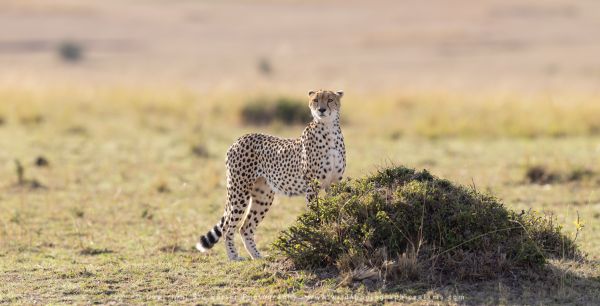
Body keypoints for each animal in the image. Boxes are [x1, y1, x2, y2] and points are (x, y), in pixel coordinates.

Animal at [197, 89, 346, 260]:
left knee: (245, 227)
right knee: (228, 226)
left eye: (330, 100)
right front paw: (318, 230)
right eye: (315, 100)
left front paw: (335, 225)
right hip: (239, 192)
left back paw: (257, 257)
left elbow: (335, 208)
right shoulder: (312, 186)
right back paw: (234, 257)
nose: (321, 109)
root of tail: (240, 138)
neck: (329, 129)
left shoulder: (334, 184)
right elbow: (315, 212)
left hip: (263, 196)